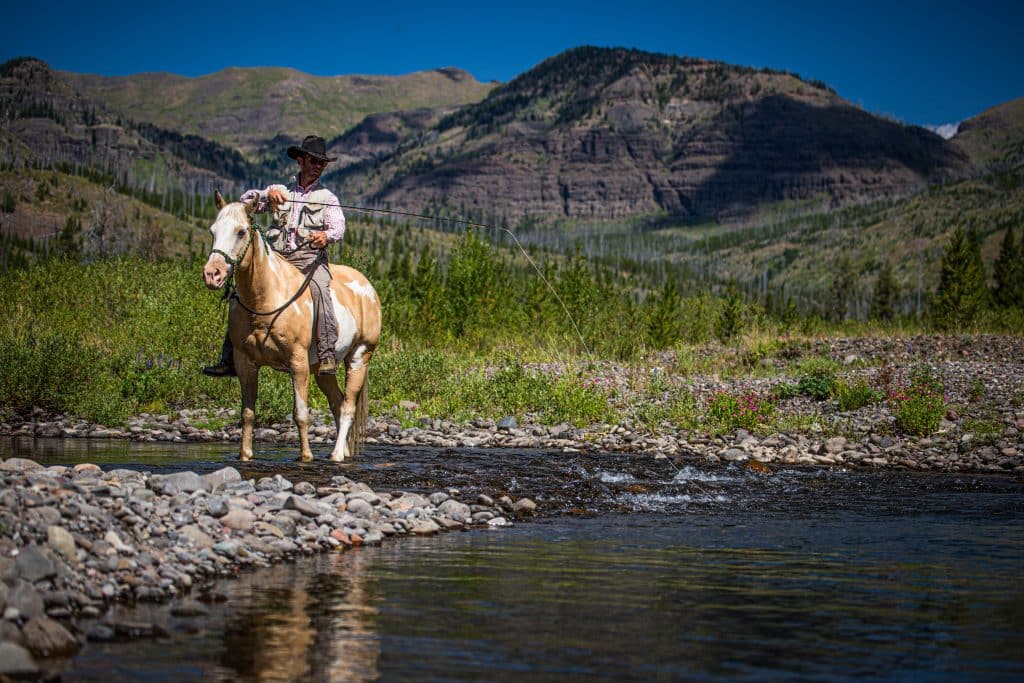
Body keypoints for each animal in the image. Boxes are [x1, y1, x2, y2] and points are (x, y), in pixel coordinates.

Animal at [199, 189, 380, 462]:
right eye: (212, 231)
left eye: (241, 232)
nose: (213, 274)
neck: (266, 299)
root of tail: (368, 289)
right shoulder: (245, 363)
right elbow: (248, 414)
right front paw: (245, 455)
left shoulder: (298, 362)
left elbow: (300, 413)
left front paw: (305, 456)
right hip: (323, 370)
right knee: (337, 403)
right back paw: (344, 451)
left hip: (360, 356)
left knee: (348, 406)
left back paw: (337, 455)